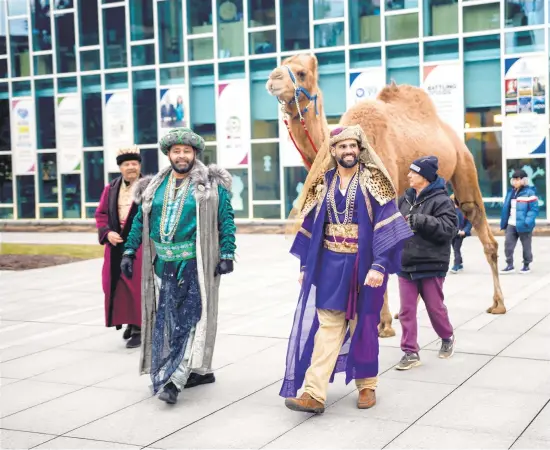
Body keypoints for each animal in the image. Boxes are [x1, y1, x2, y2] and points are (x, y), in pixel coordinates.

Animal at [268, 52, 508, 338]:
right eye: (282, 64)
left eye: (301, 72)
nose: (272, 78)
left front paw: (381, 325)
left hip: (463, 162)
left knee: (479, 223)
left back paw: (498, 304)